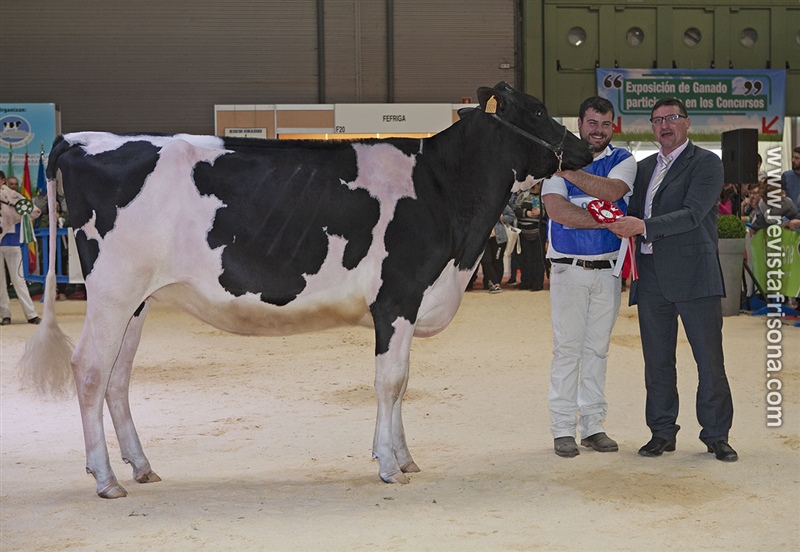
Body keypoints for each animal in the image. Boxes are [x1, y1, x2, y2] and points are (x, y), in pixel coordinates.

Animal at [20, 83, 592, 500]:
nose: (589, 146)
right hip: (113, 291)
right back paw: (105, 479)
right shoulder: (397, 299)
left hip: (136, 300)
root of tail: (81, 138)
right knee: (90, 370)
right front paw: (390, 466)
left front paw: (404, 456)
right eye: (537, 111)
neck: (442, 191)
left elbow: (402, 383)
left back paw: (140, 466)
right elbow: (391, 382)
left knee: (117, 378)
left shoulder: (404, 307)